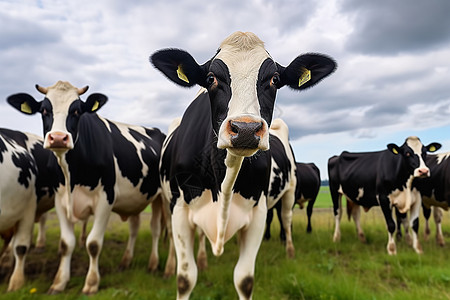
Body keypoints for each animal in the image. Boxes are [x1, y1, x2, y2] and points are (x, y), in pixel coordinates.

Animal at [7, 81, 172, 294]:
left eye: (77, 111)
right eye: (44, 110)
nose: (58, 138)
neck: (72, 176)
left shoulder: (106, 198)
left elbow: (93, 244)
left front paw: (91, 283)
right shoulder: (60, 200)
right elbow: (66, 244)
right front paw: (59, 282)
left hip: (166, 197)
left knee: (164, 230)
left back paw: (165, 268)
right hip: (137, 198)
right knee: (137, 227)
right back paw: (127, 262)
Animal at [149, 31, 336, 298]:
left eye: (275, 79)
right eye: (211, 78)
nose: (246, 129)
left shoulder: (257, 212)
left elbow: (245, 280)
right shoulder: (179, 209)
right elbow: (185, 279)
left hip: (290, 190)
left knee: (287, 218)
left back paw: (289, 251)